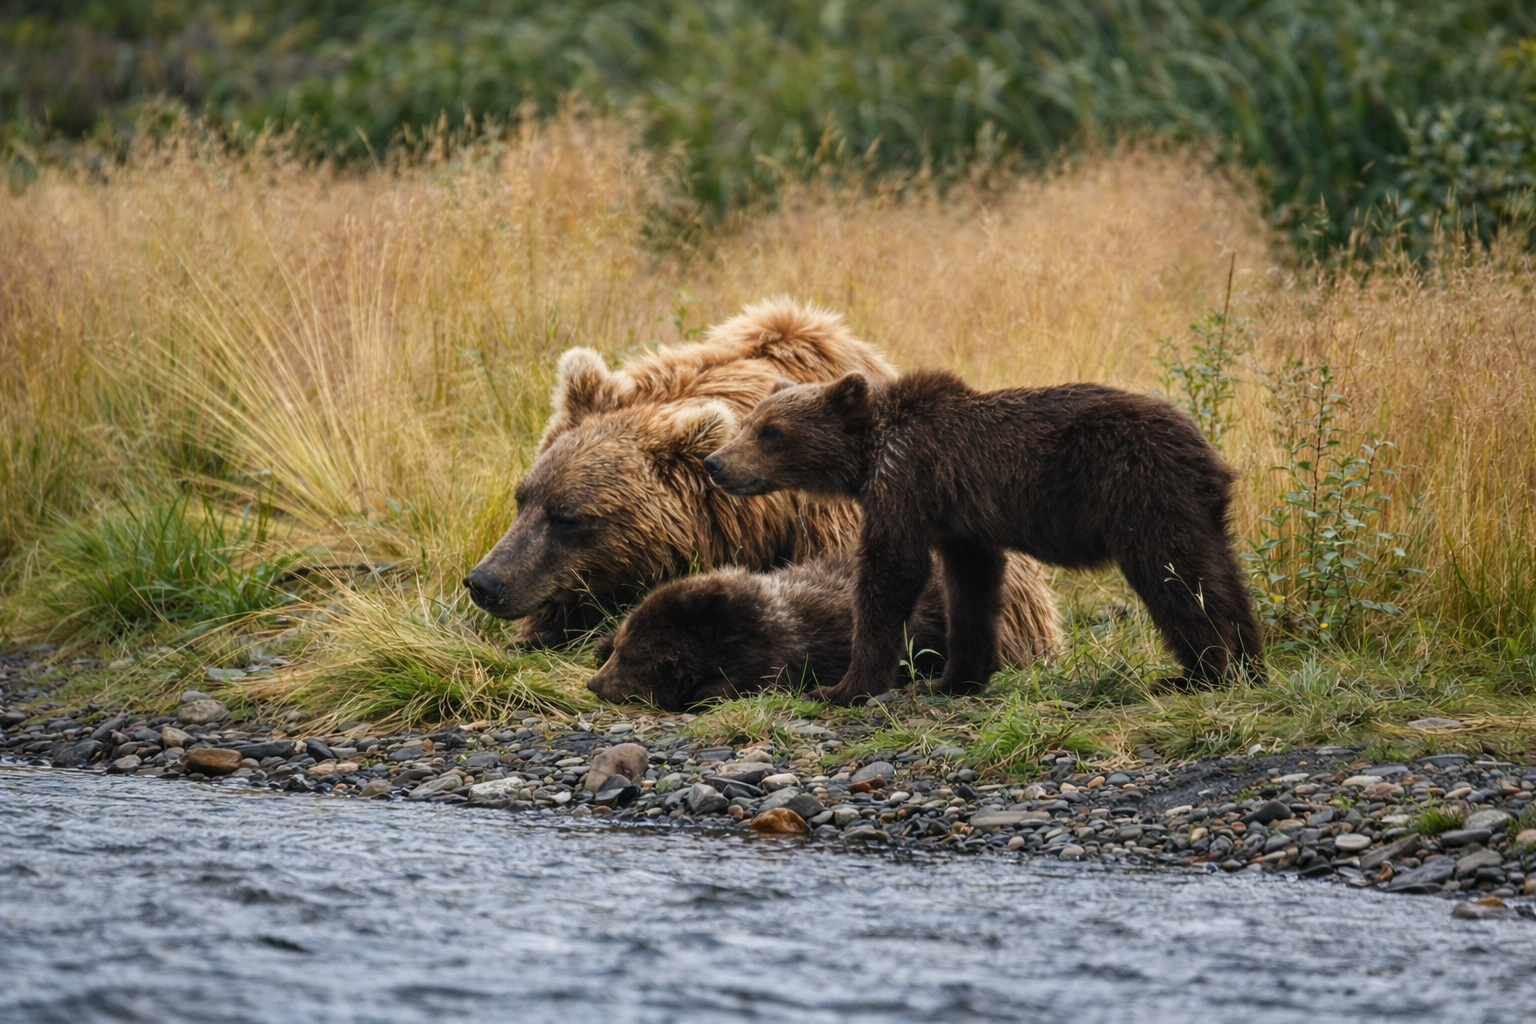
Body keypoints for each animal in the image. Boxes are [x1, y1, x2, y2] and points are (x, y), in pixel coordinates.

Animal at [586, 555, 948, 711]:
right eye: (620, 649)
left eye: (633, 659)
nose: (594, 684)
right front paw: (600, 643)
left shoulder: (777, 648)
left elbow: (754, 682)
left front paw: (698, 695)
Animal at [704, 370, 1264, 700]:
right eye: (749, 422)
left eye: (770, 432)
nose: (715, 463)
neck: (868, 458)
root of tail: (1205, 449)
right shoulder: (961, 525)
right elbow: (971, 590)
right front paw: (952, 678)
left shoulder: (909, 480)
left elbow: (891, 571)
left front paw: (842, 687)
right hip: (1198, 509)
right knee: (1222, 574)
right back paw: (1248, 662)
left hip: (1141, 491)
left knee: (1176, 576)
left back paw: (1198, 673)